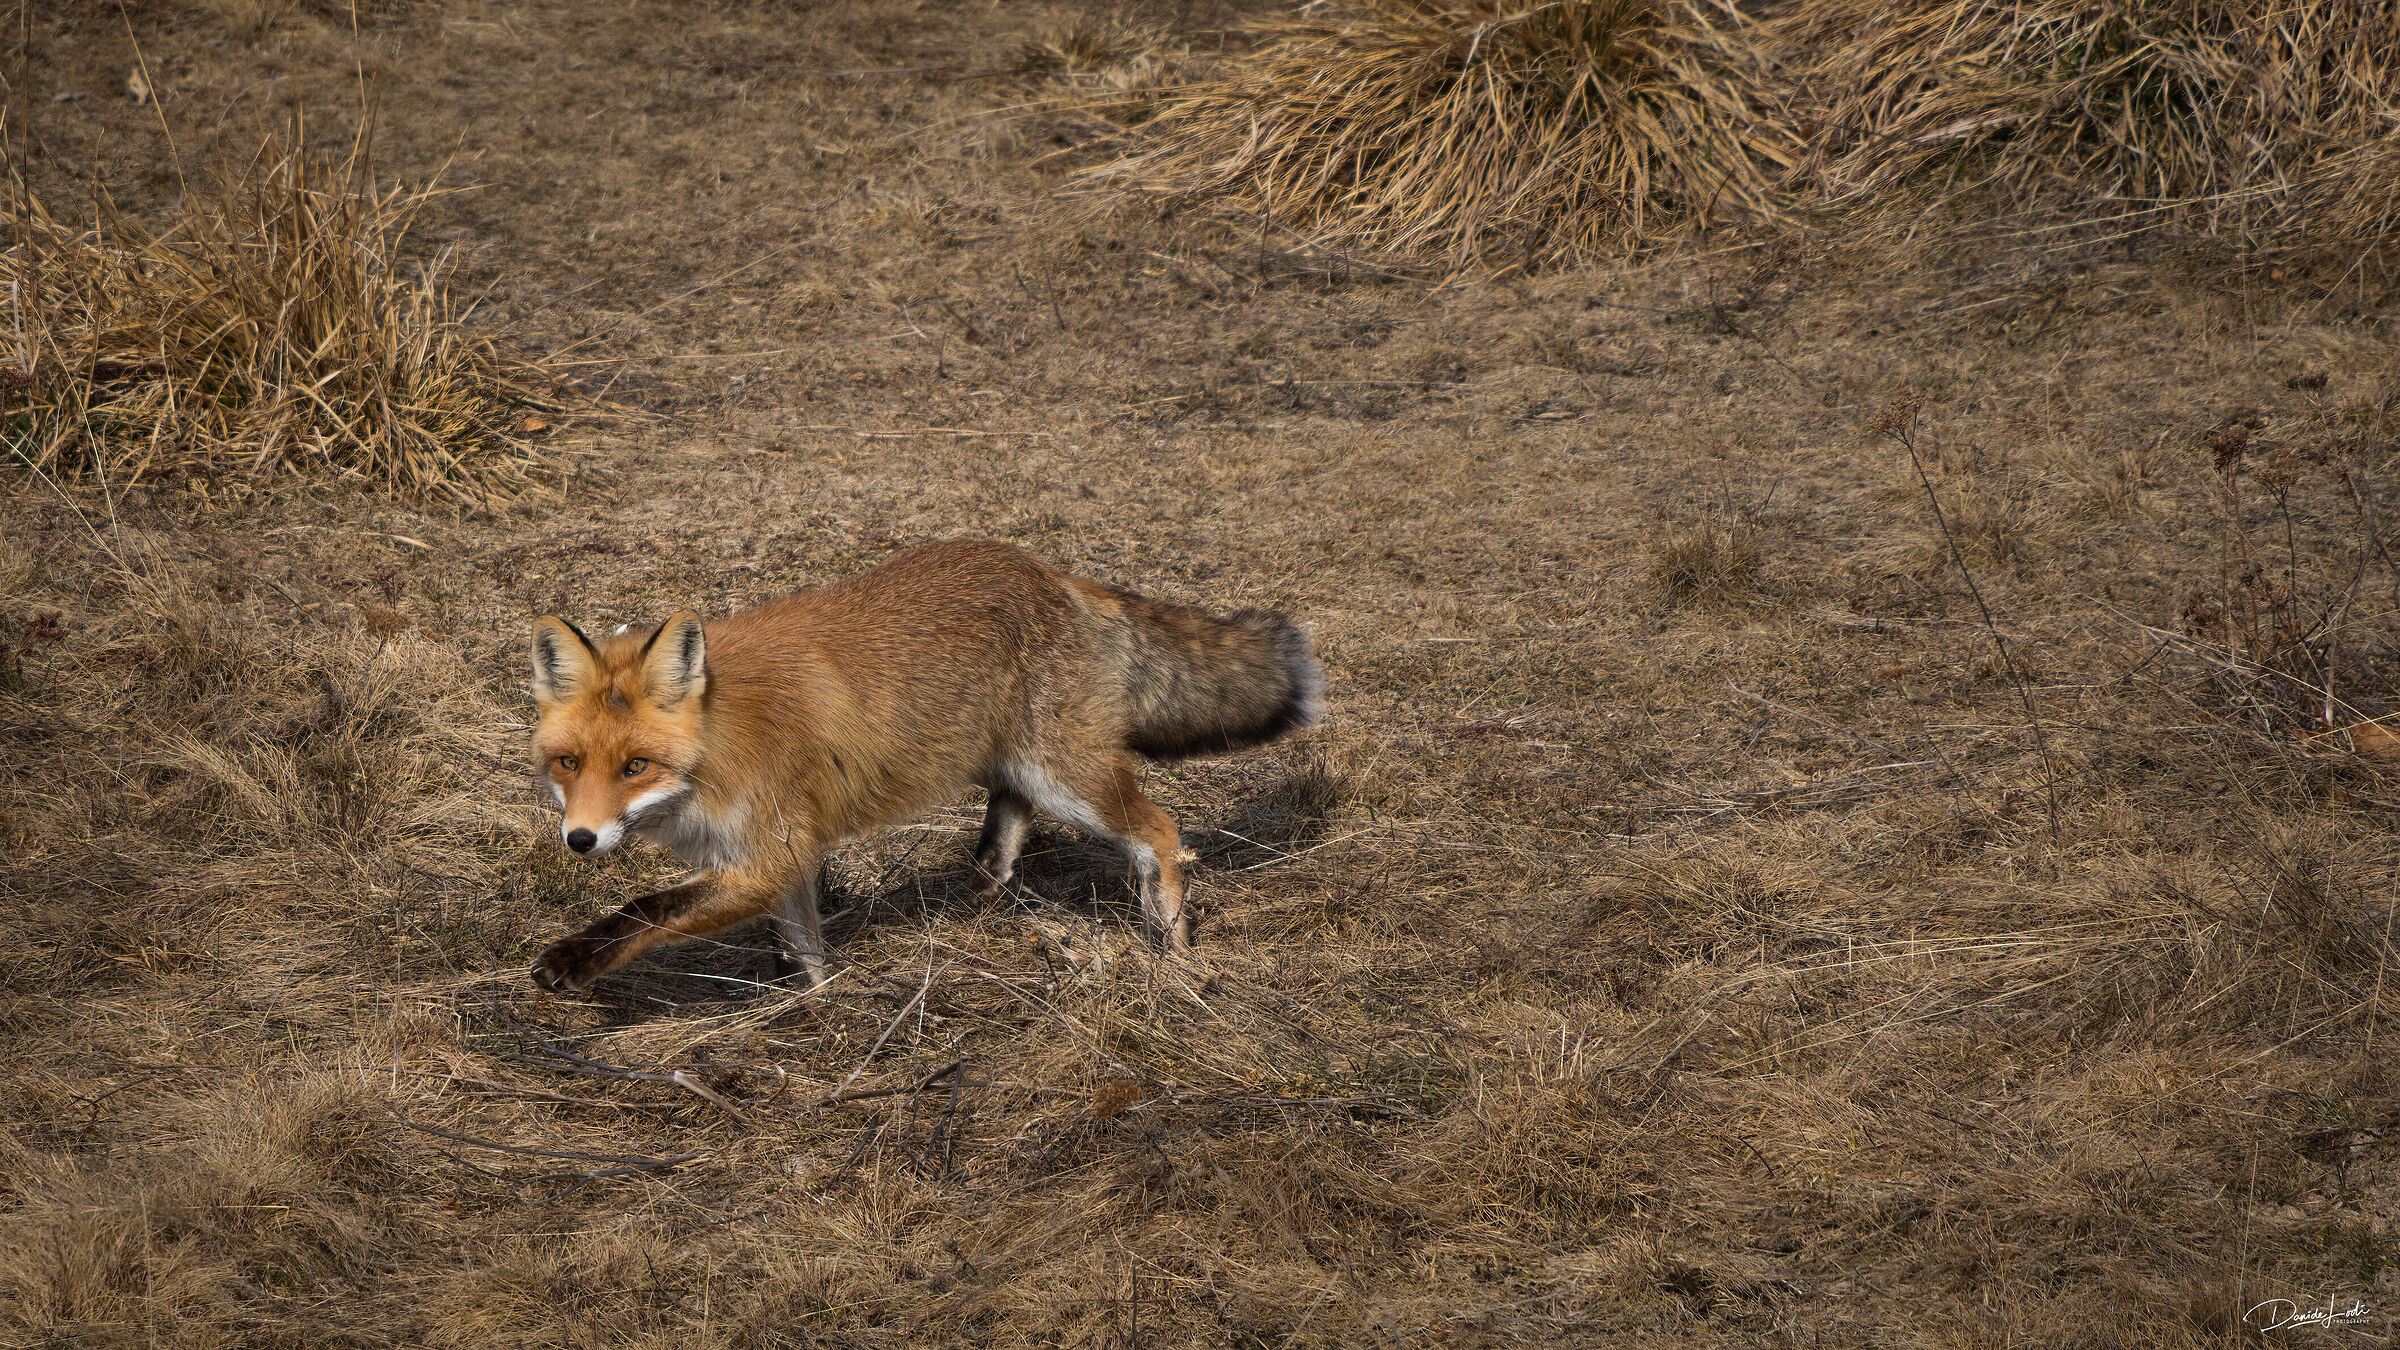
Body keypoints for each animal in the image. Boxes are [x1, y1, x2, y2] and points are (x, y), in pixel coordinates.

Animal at [524, 537, 1321, 993]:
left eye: (635, 766)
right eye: (567, 763)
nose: (579, 841)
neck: (718, 744)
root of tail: (1054, 574)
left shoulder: (764, 856)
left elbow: (645, 911)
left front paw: (574, 960)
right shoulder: (780, 860)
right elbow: (804, 949)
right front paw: (820, 1014)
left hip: (1069, 778)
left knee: (1160, 831)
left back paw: (1170, 946)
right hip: (1018, 764)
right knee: (1011, 815)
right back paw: (985, 885)